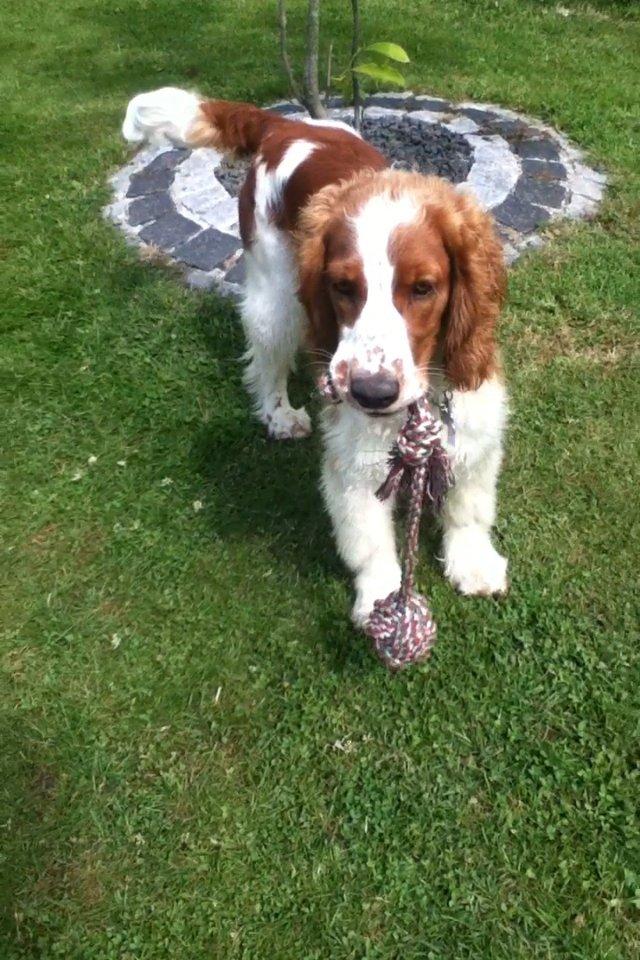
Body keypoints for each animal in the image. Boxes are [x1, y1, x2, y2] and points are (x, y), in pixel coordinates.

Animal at [122, 90, 508, 628]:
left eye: (423, 288)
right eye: (342, 287)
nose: (371, 393)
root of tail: (282, 125)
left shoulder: (474, 409)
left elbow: (468, 504)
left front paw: (472, 563)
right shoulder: (353, 451)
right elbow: (368, 538)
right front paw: (382, 600)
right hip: (276, 292)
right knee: (265, 360)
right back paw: (280, 415)